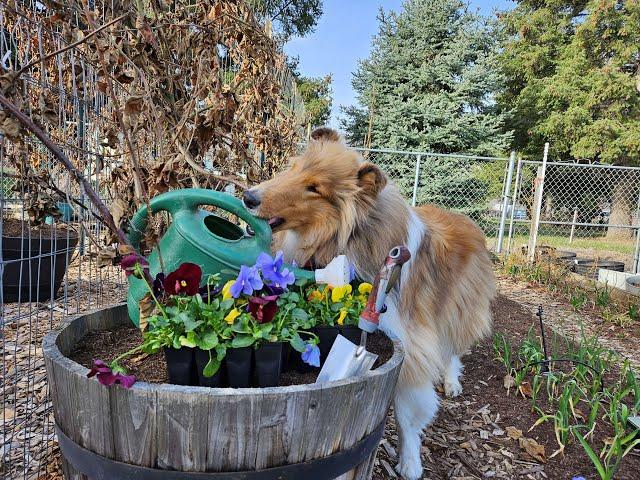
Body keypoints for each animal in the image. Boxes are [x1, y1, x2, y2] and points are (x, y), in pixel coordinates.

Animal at [245, 128, 496, 480]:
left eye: (314, 188)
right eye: (293, 169)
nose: (248, 197)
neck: (349, 235)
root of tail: (466, 218)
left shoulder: (410, 340)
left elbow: (408, 411)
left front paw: (410, 462)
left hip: (457, 307)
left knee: (453, 348)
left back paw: (451, 381)